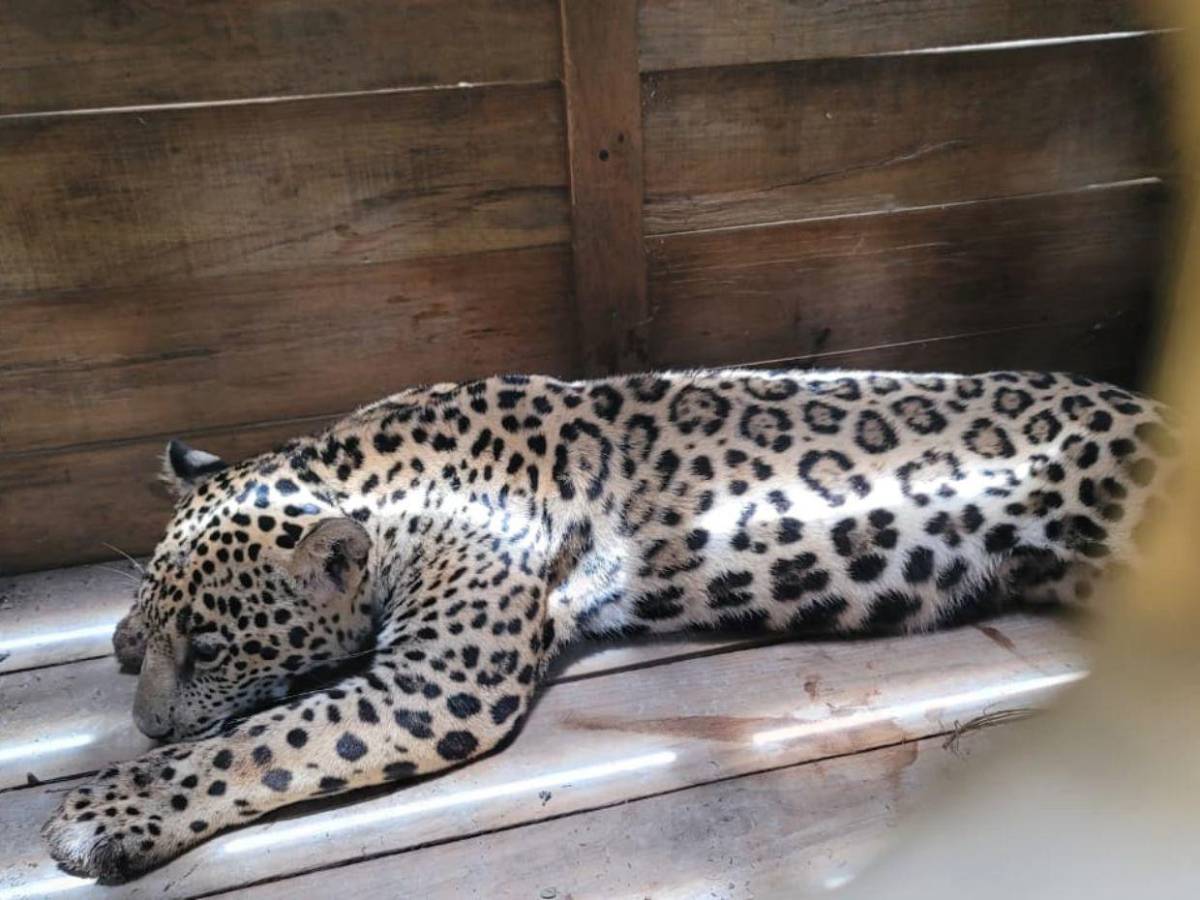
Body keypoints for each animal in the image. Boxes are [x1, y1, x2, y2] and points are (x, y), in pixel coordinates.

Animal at [42, 368, 1175, 880]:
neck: (378, 476)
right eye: (162, 632)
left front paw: (101, 812)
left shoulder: (438, 681)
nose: (141, 724)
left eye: (215, 647)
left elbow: (258, 743)